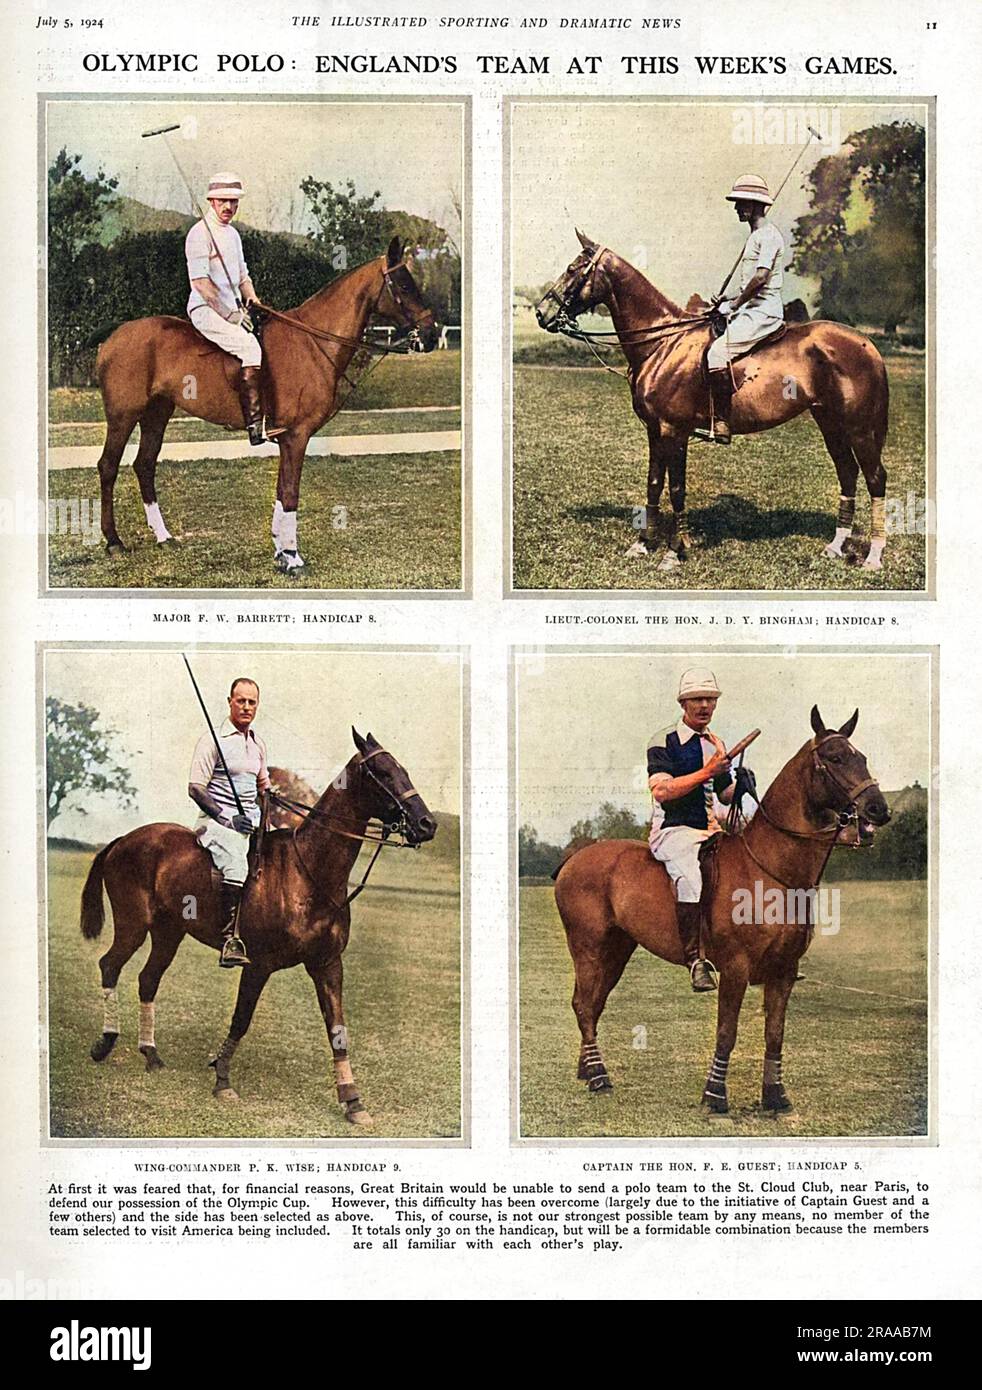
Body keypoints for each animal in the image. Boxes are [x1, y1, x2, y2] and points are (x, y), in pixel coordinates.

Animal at [78, 733, 436, 1123]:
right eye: (382, 772)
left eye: (402, 769)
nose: (427, 824)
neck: (308, 872)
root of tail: (121, 840)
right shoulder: (259, 964)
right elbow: (241, 1019)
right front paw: (222, 1080)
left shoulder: (327, 964)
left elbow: (337, 1029)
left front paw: (353, 1101)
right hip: (133, 923)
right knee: (110, 965)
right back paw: (105, 1043)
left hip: (169, 931)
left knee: (148, 979)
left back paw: (152, 1054)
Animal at [92, 239, 436, 569]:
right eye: (404, 285)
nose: (431, 336)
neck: (314, 342)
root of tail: (112, 335)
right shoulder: (297, 435)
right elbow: (291, 493)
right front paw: (293, 557)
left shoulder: (288, 438)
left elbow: (282, 491)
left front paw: (280, 550)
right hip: (123, 414)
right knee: (108, 466)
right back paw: (113, 542)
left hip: (157, 412)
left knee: (145, 464)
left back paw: (163, 536)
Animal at [534, 236, 890, 572]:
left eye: (572, 269)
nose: (541, 312)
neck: (662, 344)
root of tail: (867, 344)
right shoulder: (654, 431)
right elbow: (654, 484)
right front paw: (643, 544)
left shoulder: (674, 431)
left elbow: (676, 489)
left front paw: (674, 552)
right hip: (829, 421)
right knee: (847, 472)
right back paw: (835, 546)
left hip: (858, 427)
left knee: (875, 478)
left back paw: (873, 556)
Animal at [550, 711, 890, 1112]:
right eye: (835, 757)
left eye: (862, 756)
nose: (879, 809)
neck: (771, 870)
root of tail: (573, 858)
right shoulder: (735, 968)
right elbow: (727, 1032)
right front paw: (714, 1095)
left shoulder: (784, 971)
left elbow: (775, 1034)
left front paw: (775, 1096)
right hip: (587, 945)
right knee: (585, 1005)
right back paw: (599, 1076)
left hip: (617, 948)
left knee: (591, 1002)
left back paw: (587, 1069)